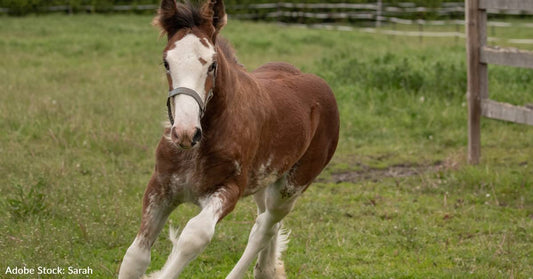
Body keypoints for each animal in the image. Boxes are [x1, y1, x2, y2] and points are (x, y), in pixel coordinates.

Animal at [118, 1, 338, 278]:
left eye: (212, 65)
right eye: (166, 62)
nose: (185, 133)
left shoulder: (229, 190)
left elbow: (194, 236)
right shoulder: (161, 187)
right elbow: (135, 257)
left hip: (290, 188)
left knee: (264, 228)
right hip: (264, 182)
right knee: (268, 224)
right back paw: (267, 269)